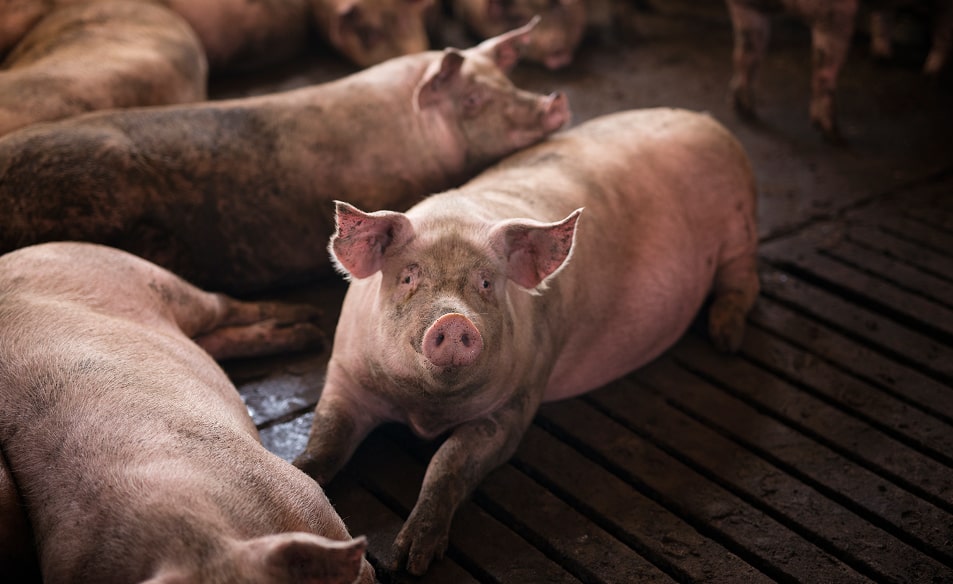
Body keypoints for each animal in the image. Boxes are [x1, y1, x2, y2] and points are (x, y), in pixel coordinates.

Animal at [0, 241, 375, 584]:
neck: (199, 541)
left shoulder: (304, 494)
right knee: (217, 339)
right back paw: (308, 333)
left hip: (156, 280)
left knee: (222, 304)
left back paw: (310, 323)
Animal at [293, 107, 760, 575]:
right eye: (409, 277)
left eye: (486, 282)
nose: (454, 320)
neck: (424, 411)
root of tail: (706, 121)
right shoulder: (344, 375)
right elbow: (326, 437)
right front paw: (297, 472)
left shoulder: (515, 403)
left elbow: (448, 462)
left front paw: (411, 560)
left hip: (740, 226)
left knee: (744, 281)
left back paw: (726, 340)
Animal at [725, 0, 859, 142]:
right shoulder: (835, 10)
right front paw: (833, 135)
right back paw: (833, 133)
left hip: (750, 10)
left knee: (746, 53)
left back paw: (743, 107)